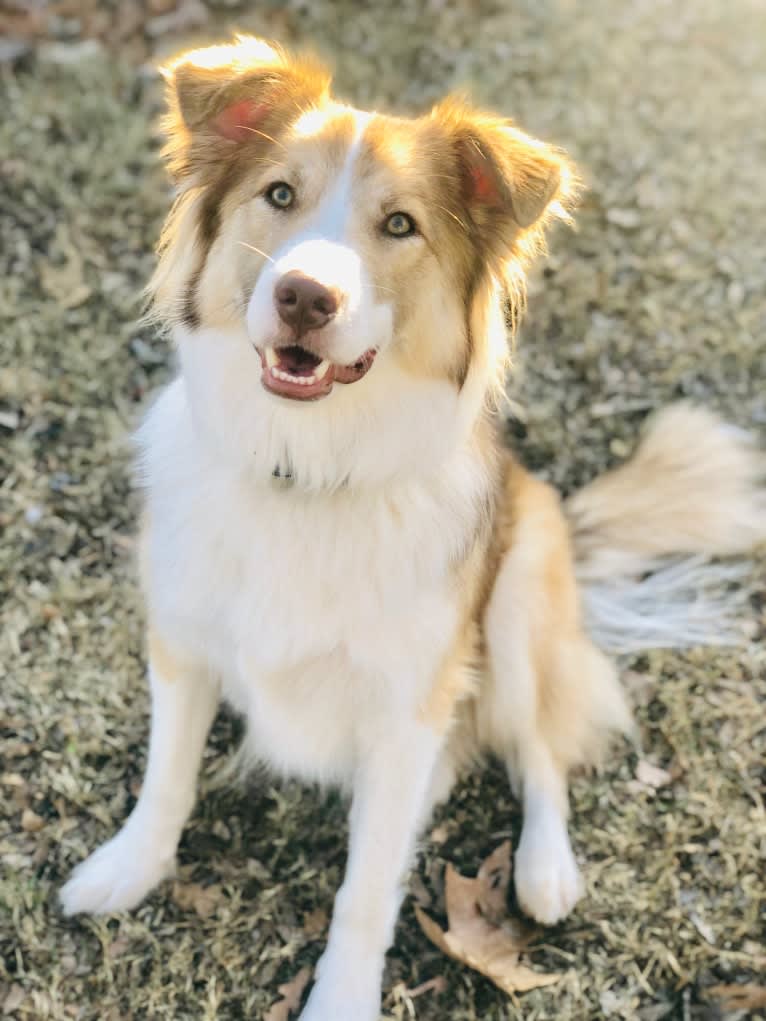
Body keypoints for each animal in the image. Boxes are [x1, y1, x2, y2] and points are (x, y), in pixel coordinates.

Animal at [61, 33, 766, 1021]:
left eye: (399, 225)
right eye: (280, 194)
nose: (304, 297)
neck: (306, 470)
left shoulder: (406, 716)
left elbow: (365, 888)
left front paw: (343, 995)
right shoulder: (184, 642)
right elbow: (167, 778)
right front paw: (129, 868)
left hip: (516, 602)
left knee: (541, 750)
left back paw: (546, 869)